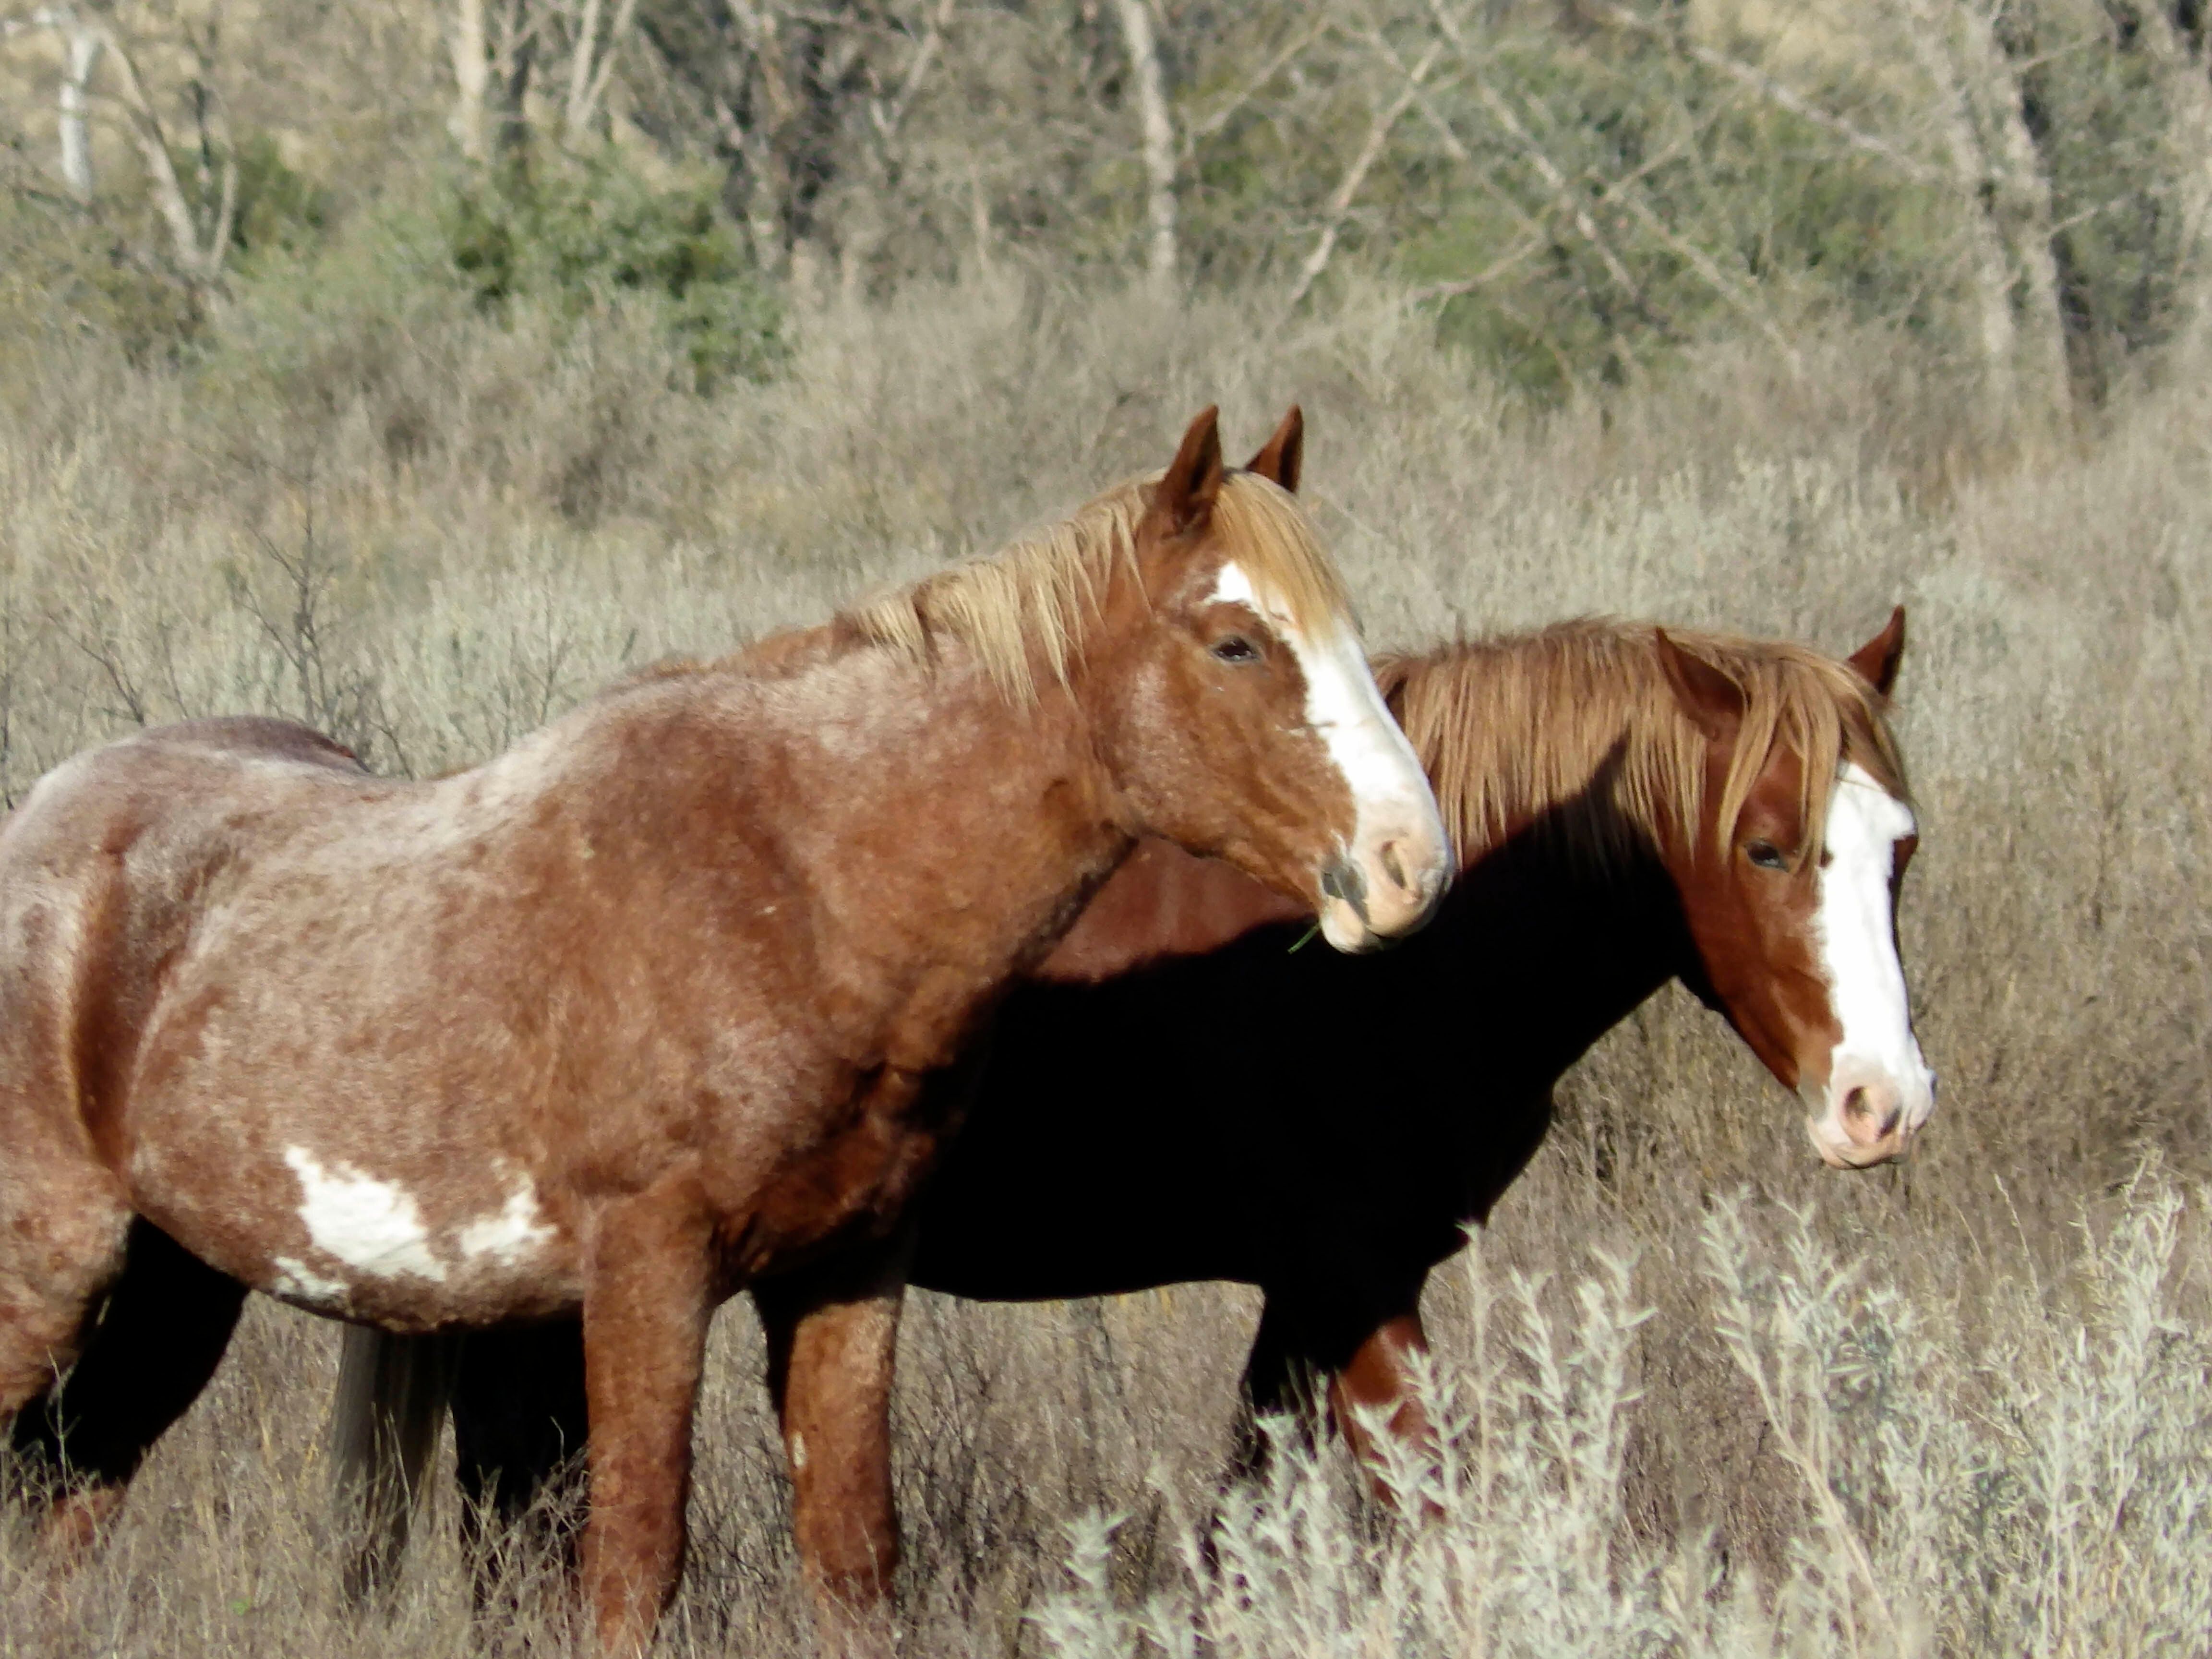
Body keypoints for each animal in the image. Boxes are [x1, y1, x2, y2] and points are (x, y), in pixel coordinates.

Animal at [0, 409, 1451, 1654]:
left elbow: (854, 1553)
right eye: (1237, 643)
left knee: (66, 1499)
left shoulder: (850, 1272)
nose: (1411, 865)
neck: (796, 880)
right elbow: (638, 1563)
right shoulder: (650, 1275)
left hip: (176, 1287)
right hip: (59, 1279)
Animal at [321, 601, 1929, 1601]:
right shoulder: (1356, 1281)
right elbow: (1437, 1506)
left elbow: (1242, 1527)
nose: (1883, 1104)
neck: (1396, 963)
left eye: (1899, 847)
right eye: (1769, 847)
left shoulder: (1317, 1296)